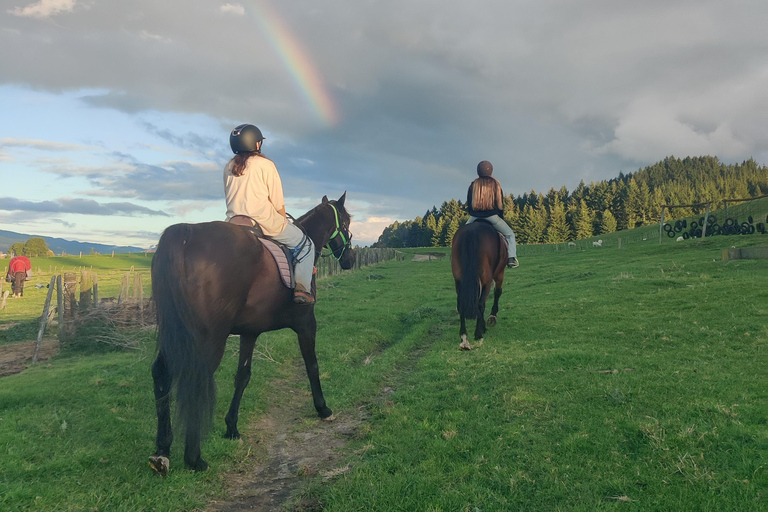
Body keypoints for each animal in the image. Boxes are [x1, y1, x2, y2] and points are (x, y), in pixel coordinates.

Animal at [148, 193, 355, 475]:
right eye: (346, 222)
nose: (350, 259)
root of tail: (186, 234)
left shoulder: (250, 333)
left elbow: (242, 377)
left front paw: (231, 427)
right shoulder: (306, 323)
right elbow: (312, 365)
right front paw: (322, 408)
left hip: (175, 335)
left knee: (161, 374)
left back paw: (162, 450)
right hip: (209, 340)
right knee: (195, 379)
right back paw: (194, 457)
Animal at [451, 220, 507, 350]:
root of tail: (470, 233)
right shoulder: (499, 274)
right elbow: (497, 293)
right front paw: (491, 318)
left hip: (459, 281)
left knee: (461, 304)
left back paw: (464, 338)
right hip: (487, 279)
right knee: (480, 303)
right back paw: (478, 333)